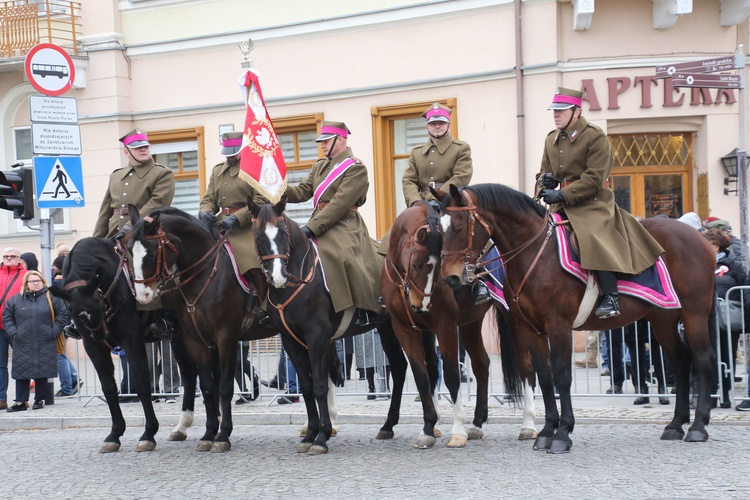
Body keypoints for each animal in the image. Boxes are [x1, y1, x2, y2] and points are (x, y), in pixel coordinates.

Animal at [50, 237, 200, 454]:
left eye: (98, 302)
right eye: (71, 309)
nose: (100, 335)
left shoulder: (132, 341)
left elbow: (142, 383)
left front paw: (148, 433)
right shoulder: (93, 347)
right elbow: (109, 387)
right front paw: (115, 434)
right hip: (178, 339)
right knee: (189, 373)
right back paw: (181, 427)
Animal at [128, 207, 278, 454]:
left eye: (150, 254)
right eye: (129, 252)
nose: (143, 296)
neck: (204, 273)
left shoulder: (226, 337)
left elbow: (224, 387)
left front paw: (223, 435)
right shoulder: (195, 340)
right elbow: (208, 387)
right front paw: (209, 433)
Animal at [250, 198, 408, 454]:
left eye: (282, 232)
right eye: (258, 235)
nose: (278, 276)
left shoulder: (317, 337)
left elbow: (320, 385)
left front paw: (322, 435)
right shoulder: (291, 341)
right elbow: (306, 386)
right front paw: (310, 434)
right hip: (387, 328)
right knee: (400, 367)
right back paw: (388, 425)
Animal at [384, 203, 536, 450]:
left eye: (438, 269)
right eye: (415, 264)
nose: (421, 305)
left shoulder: (445, 324)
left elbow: (451, 375)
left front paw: (456, 430)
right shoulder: (405, 329)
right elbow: (423, 376)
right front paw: (429, 427)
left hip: (514, 317)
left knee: (525, 366)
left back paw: (528, 425)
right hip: (470, 324)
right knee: (482, 364)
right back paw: (477, 423)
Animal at [440, 184, 716, 454]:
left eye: (459, 226)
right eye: (439, 228)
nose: (450, 278)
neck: (535, 253)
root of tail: (699, 237)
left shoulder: (558, 325)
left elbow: (562, 376)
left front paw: (562, 433)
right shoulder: (532, 329)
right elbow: (545, 376)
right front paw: (546, 431)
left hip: (694, 313)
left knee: (703, 361)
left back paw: (697, 427)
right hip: (663, 318)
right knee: (681, 362)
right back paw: (676, 425)